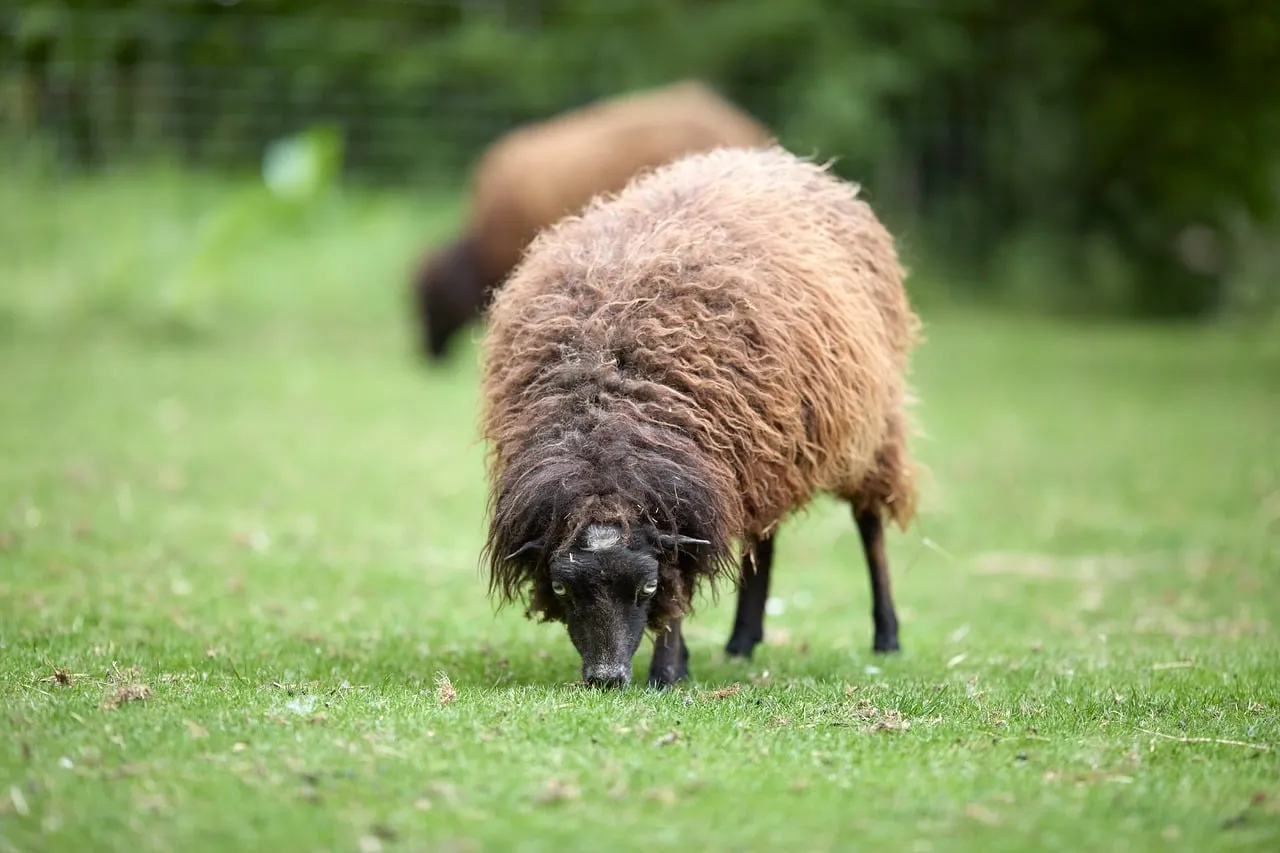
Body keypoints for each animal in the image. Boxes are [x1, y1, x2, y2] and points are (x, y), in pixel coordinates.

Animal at [478, 145, 924, 688]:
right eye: (562, 589)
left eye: (645, 589)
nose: (606, 678)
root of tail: (777, 158)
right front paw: (681, 662)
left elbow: (677, 593)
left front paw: (666, 671)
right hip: (766, 455)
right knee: (762, 541)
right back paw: (742, 641)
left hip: (871, 427)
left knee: (869, 524)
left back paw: (887, 636)